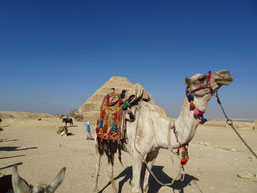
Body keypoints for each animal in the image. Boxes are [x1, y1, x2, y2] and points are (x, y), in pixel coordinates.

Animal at [93, 70, 232, 192]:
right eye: (201, 78)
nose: (226, 74)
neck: (158, 128)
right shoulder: (137, 155)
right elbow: (136, 188)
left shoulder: (153, 154)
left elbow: (145, 186)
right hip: (98, 142)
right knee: (99, 167)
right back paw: (95, 189)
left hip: (111, 145)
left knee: (110, 169)